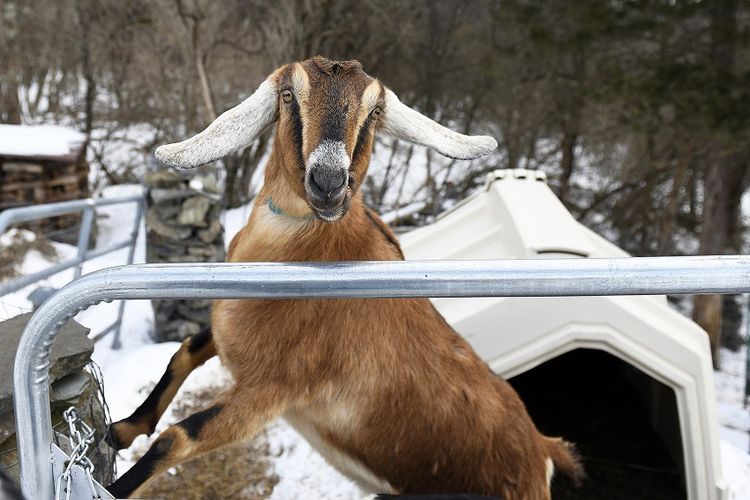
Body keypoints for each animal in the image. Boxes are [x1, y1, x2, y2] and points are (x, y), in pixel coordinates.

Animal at [106, 56, 584, 498]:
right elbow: (185, 351)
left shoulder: (269, 390)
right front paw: (120, 430)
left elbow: (176, 439)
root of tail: (542, 451)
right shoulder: (229, 339)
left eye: (374, 111)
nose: (329, 182)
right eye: (288, 95)